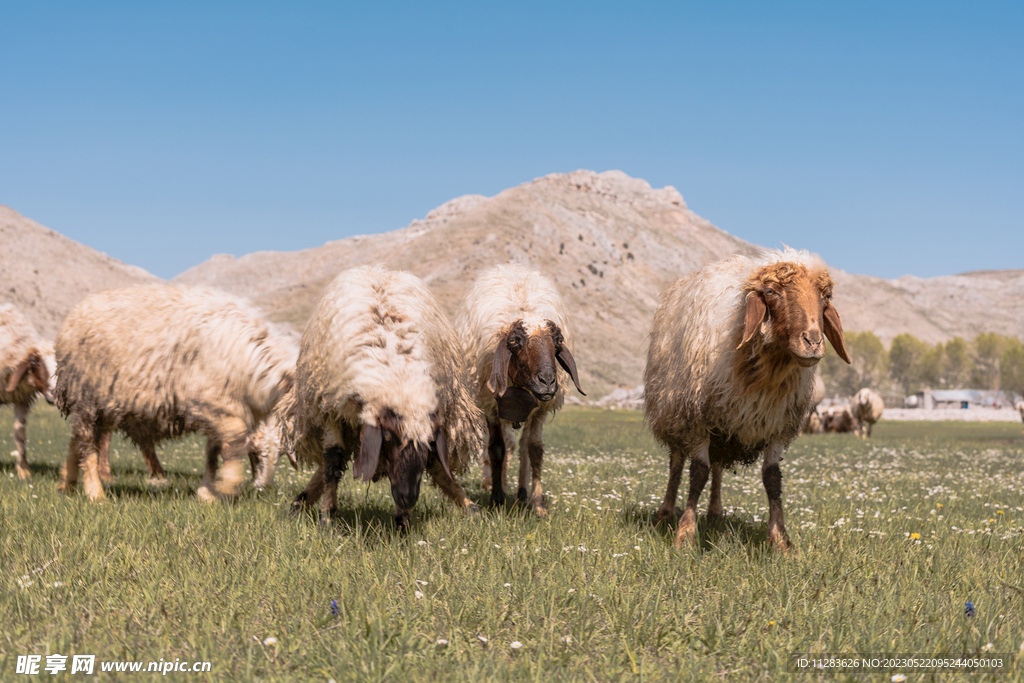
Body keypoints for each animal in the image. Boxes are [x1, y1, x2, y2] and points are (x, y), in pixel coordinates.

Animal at [54, 282, 296, 501]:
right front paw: (228, 486)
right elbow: (233, 440)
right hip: (85, 396)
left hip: (103, 406)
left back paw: (67, 484)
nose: (264, 488)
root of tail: (75, 312)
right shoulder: (209, 402)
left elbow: (212, 453)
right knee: (87, 444)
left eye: (279, 457)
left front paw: (206, 494)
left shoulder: (219, 411)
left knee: (77, 441)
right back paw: (94, 492)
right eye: (256, 454)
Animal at [286, 264, 481, 532]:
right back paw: (300, 504)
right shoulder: (331, 409)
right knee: (332, 461)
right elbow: (333, 460)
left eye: (430, 442)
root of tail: (379, 269)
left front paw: (403, 522)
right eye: (387, 437)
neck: (397, 377)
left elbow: (432, 465)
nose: (407, 497)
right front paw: (327, 517)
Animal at [456, 264, 585, 518]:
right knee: (504, 446)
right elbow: (496, 450)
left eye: (558, 342)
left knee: (523, 446)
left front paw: (538, 504)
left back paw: (522, 493)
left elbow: (534, 449)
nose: (547, 382)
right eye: (514, 342)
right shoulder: (491, 407)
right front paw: (496, 498)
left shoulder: (540, 409)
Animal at [643, 248, 851, 552]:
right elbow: (698, 474)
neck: (767, 371)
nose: (813, 341)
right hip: (675, 413)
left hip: (722, 429)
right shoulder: (698, 420)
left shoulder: (775, 424)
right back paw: (666, 513)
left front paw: (780, 541)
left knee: (717, 467)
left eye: (825, 295)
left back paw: (715, 513)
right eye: (771, 292)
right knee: (677, 466)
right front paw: (685, 535)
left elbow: (772, 479)